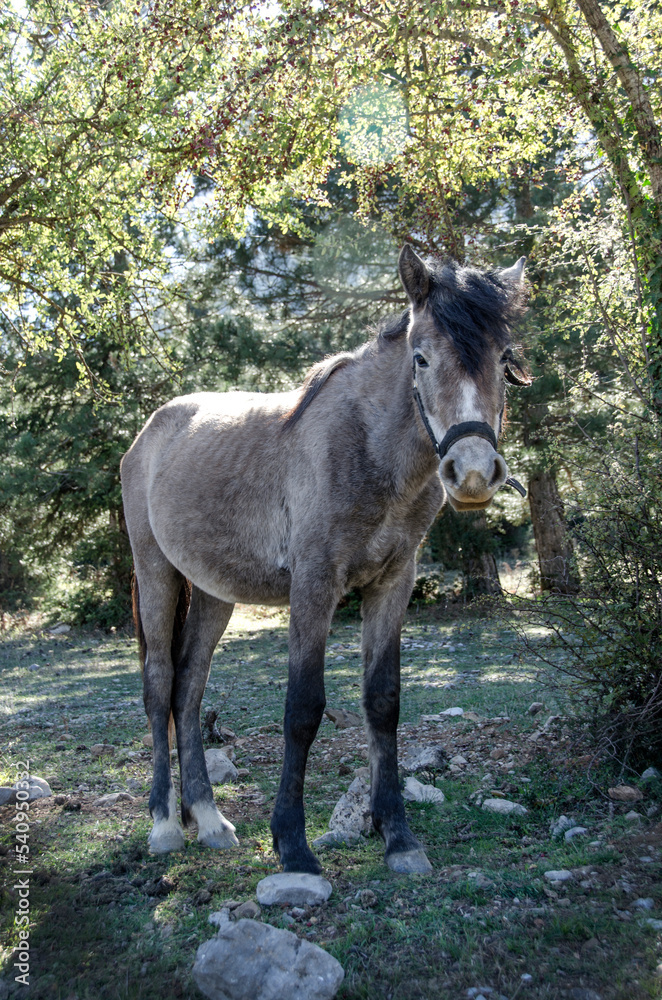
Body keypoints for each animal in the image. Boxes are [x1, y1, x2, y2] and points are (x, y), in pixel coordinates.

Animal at [120, 245, 530, 875]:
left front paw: (399, 838)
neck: (368, 447)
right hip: (156, 574)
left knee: (187, 689)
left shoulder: (393, 583)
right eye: (421, 359)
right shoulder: (314, 586)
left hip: (213, 593)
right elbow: (303, 710)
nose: (473, 473)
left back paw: (209, 821)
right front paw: (292, 844)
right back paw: (166, 825)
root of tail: (149, 434)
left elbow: (383, 703)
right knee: (159, 683)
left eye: (503, 359)